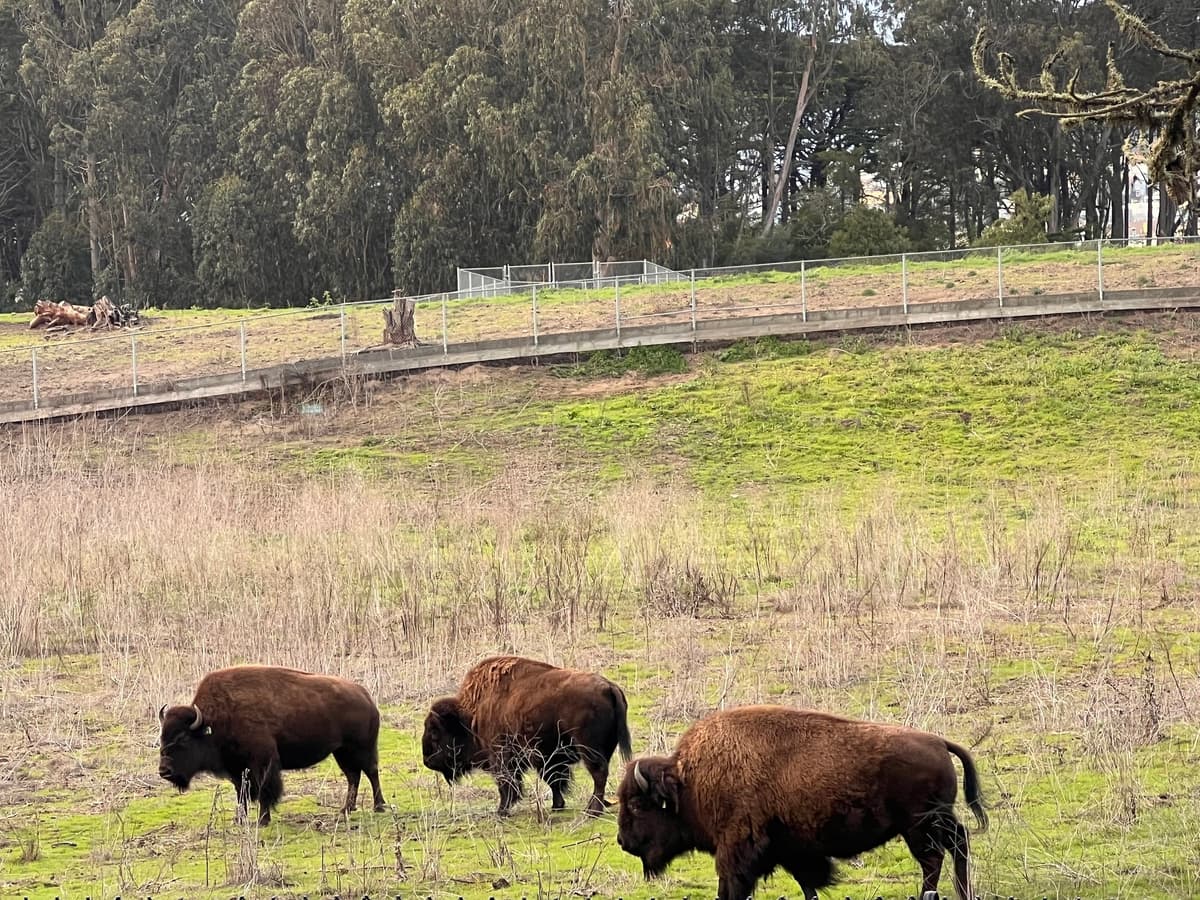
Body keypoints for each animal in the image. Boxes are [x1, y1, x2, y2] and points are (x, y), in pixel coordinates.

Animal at [157, 665, 386, 826]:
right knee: (353, 776)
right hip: (341, 752)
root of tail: (365, 695)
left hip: (362, 748)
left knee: (371, 772)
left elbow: (264, 790)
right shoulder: (237, 769)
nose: (164, 771)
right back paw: (346, 809)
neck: (214, 720)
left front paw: (263, 820)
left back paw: (379, 806)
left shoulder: (263, 763)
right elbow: (241, 793)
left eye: (183, 738)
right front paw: (239, 820)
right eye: (162, 737)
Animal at [422, 655, 632, 816]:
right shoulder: (548, 758)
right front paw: (557, 805)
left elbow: (507, 784)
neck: (471, 715)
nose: (427, 759)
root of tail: (609, 687)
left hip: (588, 749)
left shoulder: (502, 757)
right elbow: (553, 779)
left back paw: (592, 810)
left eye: (435, 732)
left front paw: (502, 811)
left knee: (599, 774)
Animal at [616, 705, 987, 900]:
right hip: (935, 821)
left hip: (920, 827)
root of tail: (938, 742)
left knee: (934, 859)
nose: (622, 841)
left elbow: (730, 886)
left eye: (637, 805)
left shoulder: (735, 849)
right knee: (959, 842)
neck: (688, 782)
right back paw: (962, 891)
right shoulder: (793, 850)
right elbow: (808, 883)